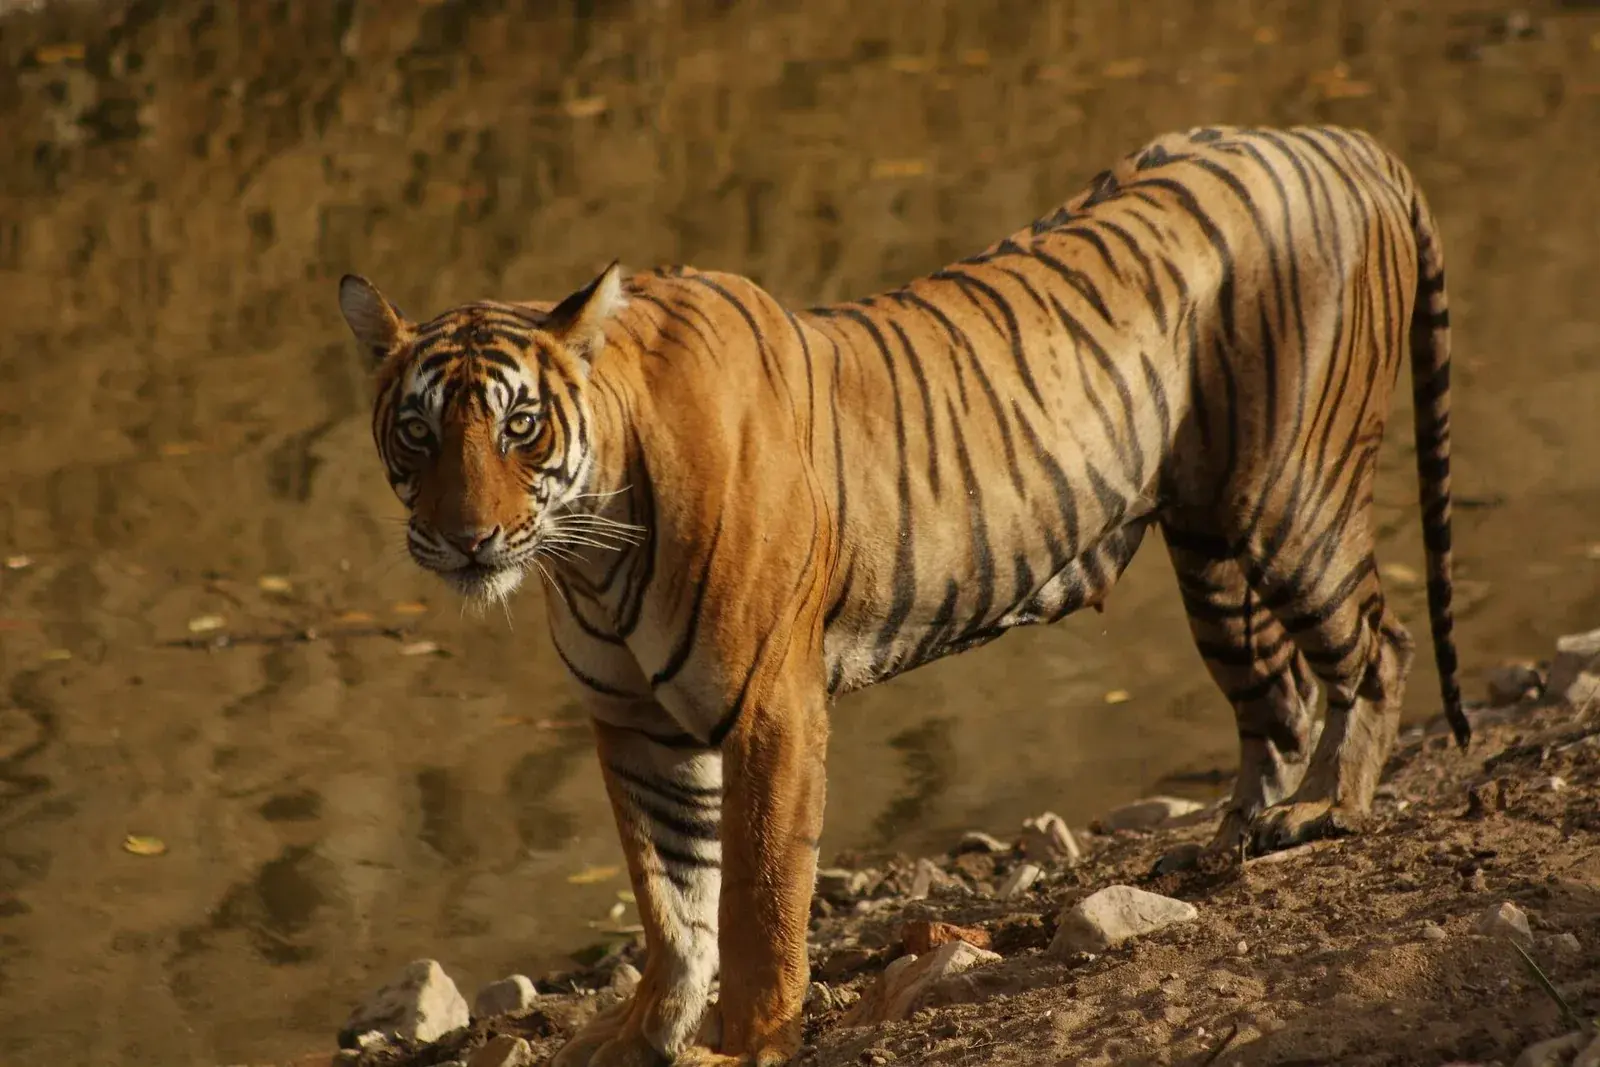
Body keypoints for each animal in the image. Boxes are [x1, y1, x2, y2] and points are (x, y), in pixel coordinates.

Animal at [337, 124, 1468, 1067]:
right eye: (419, 432)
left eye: (519, 426)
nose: (464, 538)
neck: (586, 546)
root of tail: (1343, 141)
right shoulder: (634, 723)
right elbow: (671, 903)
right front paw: (643, 1032)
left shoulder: (769, 709)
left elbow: (756, 897)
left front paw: (744, 1043)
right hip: (1209, 549)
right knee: (1279, 696)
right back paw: (1225, 842)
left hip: (1291, 497)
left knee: (1377, 648)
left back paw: (1329, 808)